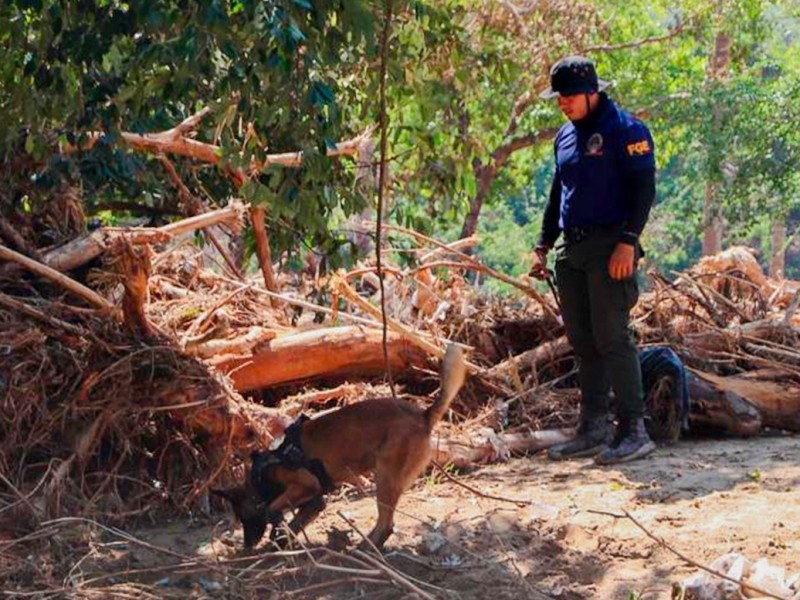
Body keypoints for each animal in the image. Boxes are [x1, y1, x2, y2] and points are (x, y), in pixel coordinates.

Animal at [212, 344, 466, 552]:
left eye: (244, 518)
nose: (246, 547)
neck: (262, 474)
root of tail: (423, 416)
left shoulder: (304, 484)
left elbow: (272, 510)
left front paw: (277, 533)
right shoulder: (314, 499)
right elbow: (295, 520)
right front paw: (280, 540)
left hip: (385, 477)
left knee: (386, 524)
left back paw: (365, 548)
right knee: (387, 523)